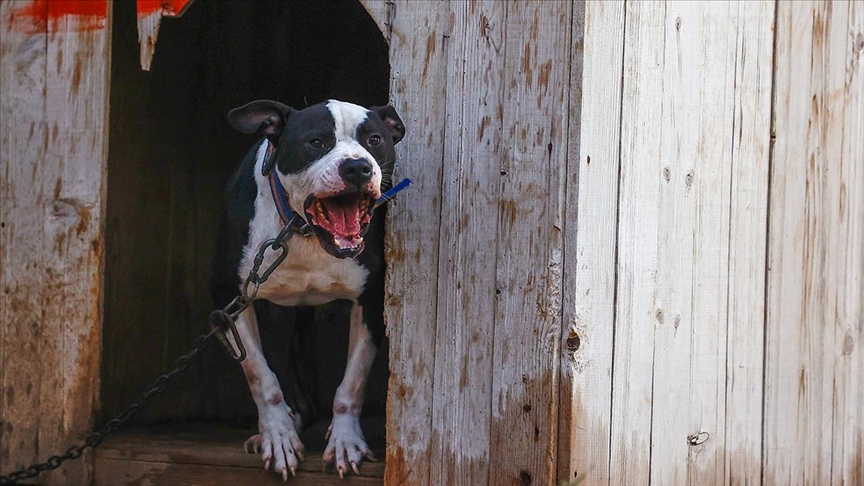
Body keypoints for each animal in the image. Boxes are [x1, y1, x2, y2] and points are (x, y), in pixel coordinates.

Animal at [214, 98, 406, 478]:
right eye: (316, 142)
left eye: (375, 139)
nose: (358, 167)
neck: (303, 233)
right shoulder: (231, 303)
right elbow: (261, 375)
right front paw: (277, 436)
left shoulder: (369, 303)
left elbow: (352, 382)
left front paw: (346, 441)